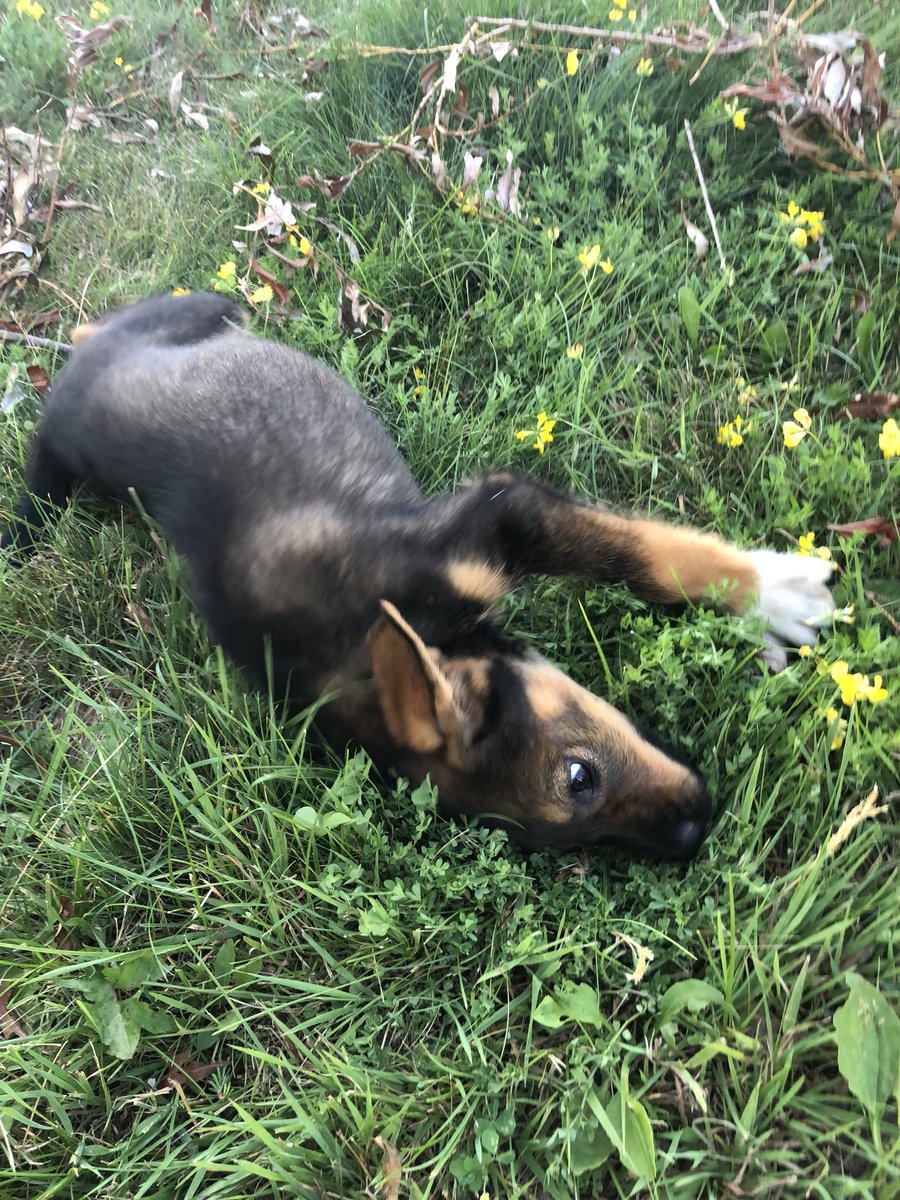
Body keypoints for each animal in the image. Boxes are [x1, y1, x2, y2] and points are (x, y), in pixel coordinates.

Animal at [3, 291, 840, 859]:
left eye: (579, 777)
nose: (697, 831)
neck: (348, 647)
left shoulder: (495, 516)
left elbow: (643, 555)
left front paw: (771, 594)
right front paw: (771, 600)